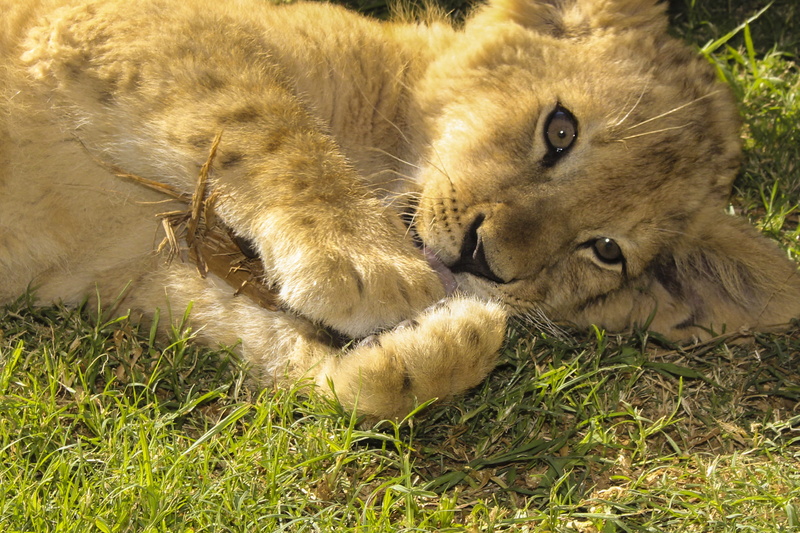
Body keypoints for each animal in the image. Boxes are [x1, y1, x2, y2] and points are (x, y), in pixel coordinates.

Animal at [1, 0, 799, 419]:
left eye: (606, 250)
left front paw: (422, 358)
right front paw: (364, 264)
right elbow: (268, 119)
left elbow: (266, 338)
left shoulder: (135, 267)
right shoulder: (124, 20)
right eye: (561, 131)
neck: (383, 144)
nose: (483, 260)